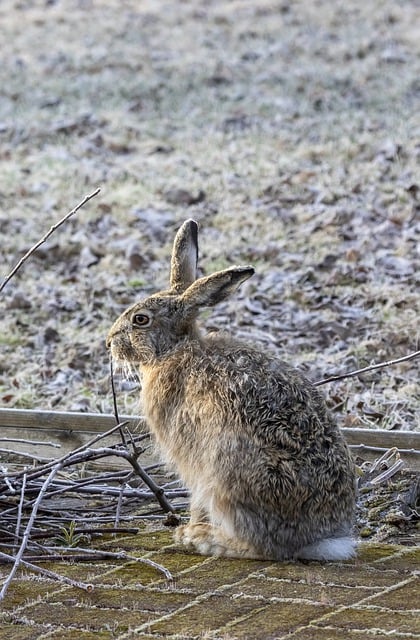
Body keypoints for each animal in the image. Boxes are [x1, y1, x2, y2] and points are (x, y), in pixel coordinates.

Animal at [106, 220, 356, 560]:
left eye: (140, 320)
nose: (109, 342)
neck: (174, 349)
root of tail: (314, 539)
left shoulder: (191, 455)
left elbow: (195, 496)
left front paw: (188, 527)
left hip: (227, 472)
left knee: (261, 547)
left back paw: (202, 538)